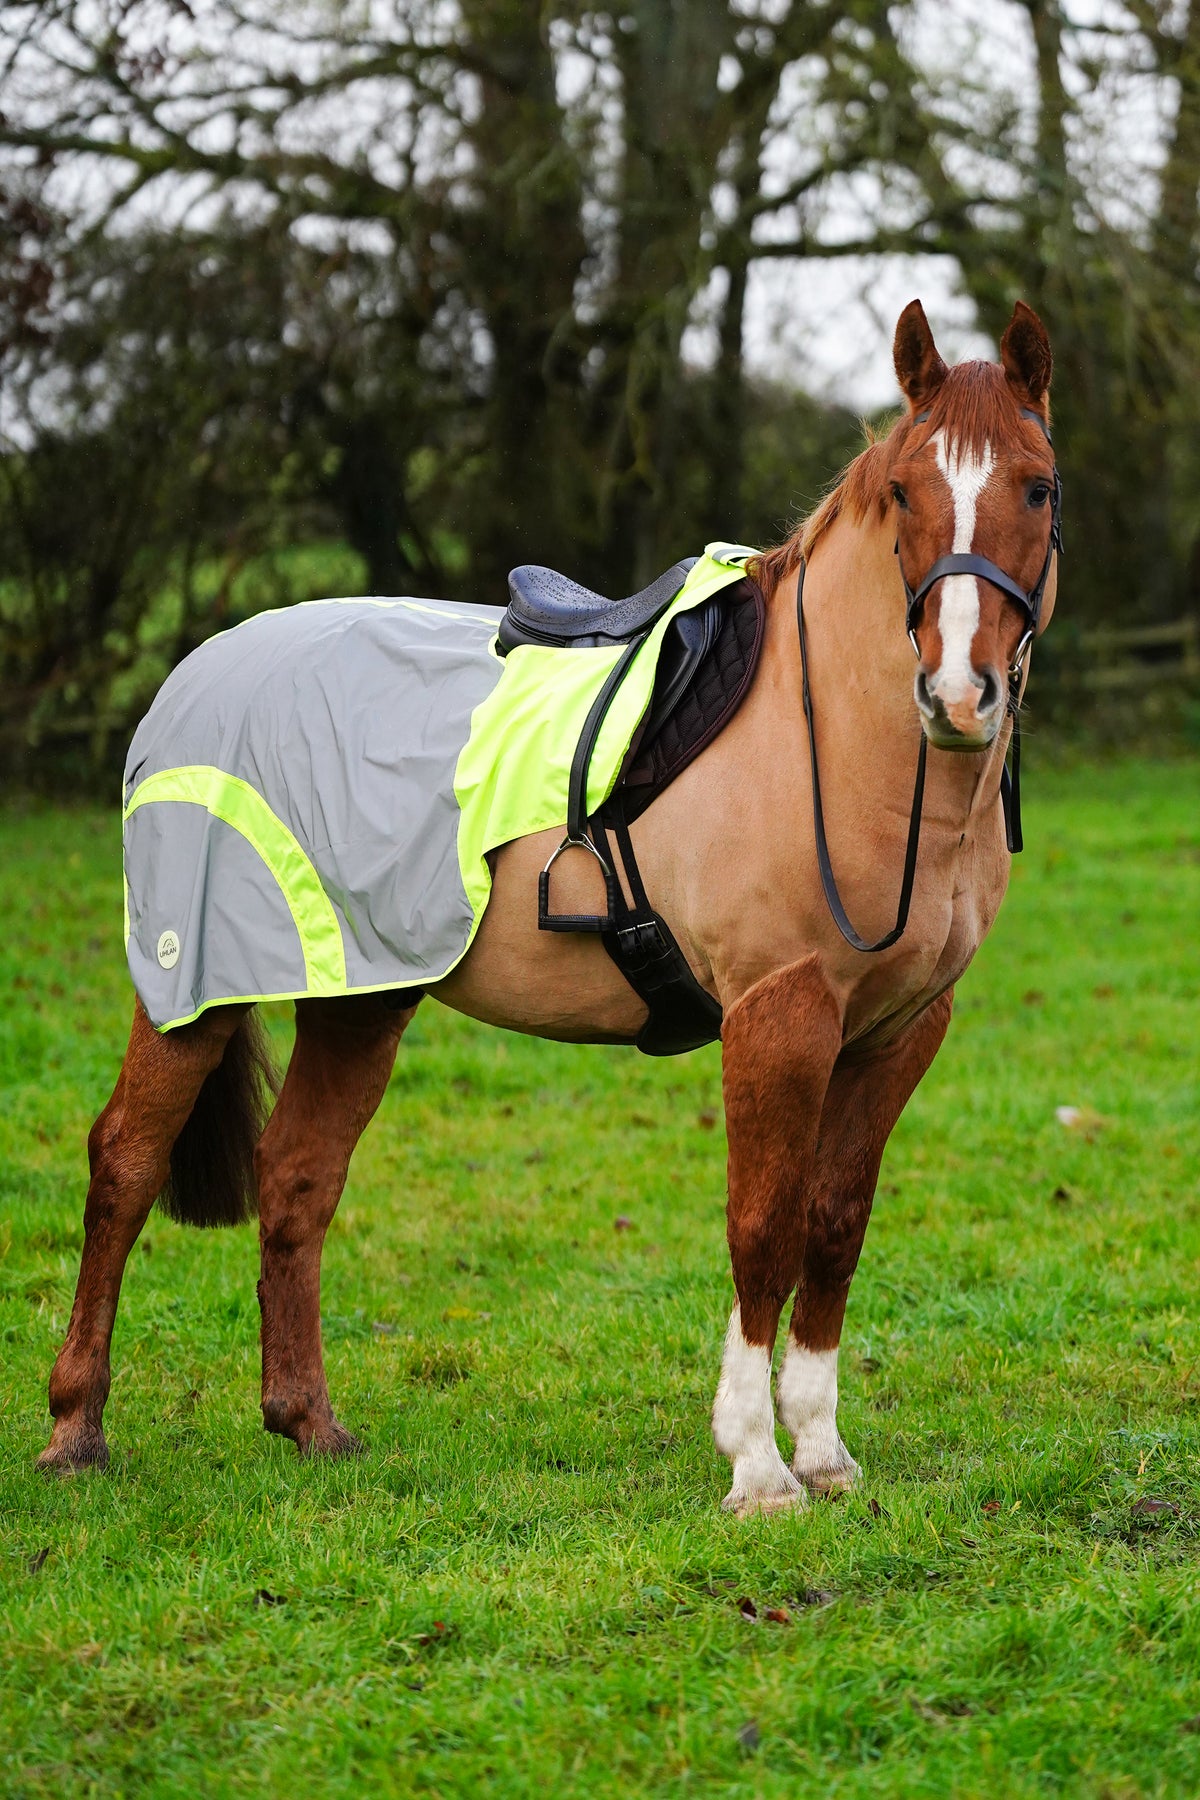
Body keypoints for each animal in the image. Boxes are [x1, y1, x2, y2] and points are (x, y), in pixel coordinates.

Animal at [38, 298, 1060, 1515]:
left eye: (1039, 489)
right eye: (906, 490)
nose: (958, 693)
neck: (837, 740)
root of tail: (197, 674)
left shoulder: (898, 1032)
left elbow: (834, 1224)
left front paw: (822, 1450)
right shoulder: (780, 1016)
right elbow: (762, 1226)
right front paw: (757, 1467)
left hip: (359, 994)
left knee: (296, 1177)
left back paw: (309, 1424)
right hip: (193, 986)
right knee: (123, 1165)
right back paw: (76, 1431)